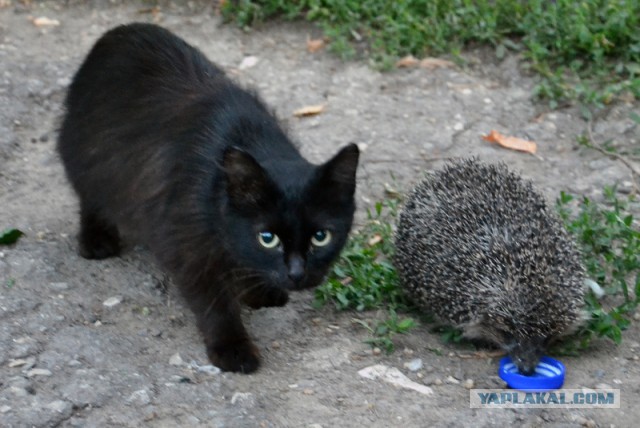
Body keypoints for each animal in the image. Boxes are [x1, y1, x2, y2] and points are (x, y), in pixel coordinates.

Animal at [57, 23, 358, 372]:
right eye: (267, 238)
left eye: (321, 237)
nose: (296, 274)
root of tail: (118, 32)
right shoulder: (184, 242)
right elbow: (215, 301)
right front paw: (232, 347)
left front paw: (258, 289)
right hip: (89, 156)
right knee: (89, 195)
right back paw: (96, 239)